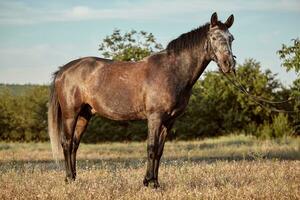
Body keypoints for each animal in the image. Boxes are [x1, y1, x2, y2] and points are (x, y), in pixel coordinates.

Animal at [48, 12, 237, 188]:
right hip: (70, 114)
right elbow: (151, 148)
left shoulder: (169, 120)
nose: (229, 64)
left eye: (231, 38)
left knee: (74, 144)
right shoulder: (155, 117)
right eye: (214, 37)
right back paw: (68, 178)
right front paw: (149, 182)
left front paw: (155, 182)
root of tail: (64, 70)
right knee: (66, 143)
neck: (172, 70)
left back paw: (74, 178)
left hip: (84, 115)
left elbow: (159, 151)